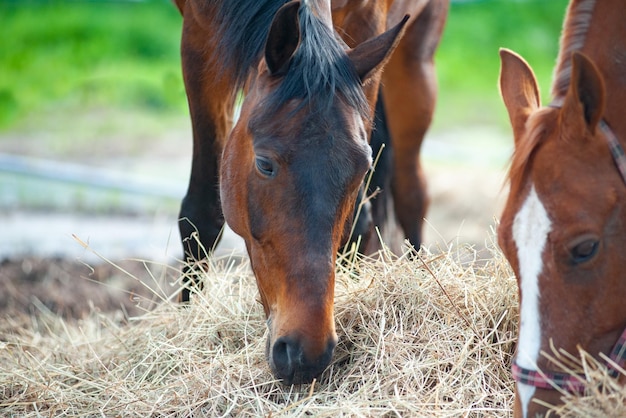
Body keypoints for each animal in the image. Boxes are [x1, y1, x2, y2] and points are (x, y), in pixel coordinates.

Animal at [173, 0, 446, 386]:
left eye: (360, 167)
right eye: (264, 164)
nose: (306, 353)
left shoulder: (368, 22)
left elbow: (356, 225)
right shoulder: (199, 35)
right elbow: (201, 216)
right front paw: (187, 319)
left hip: (416, 58)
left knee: (411, 191)